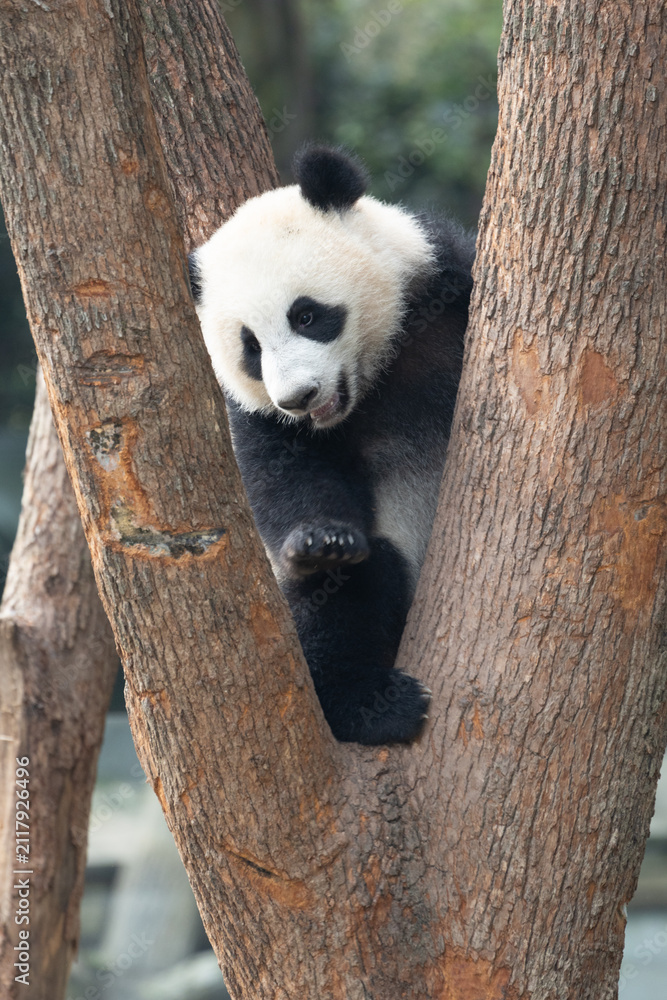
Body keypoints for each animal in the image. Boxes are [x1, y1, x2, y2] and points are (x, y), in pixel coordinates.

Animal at [189, 145, 475, 745]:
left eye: (306, 315)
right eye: (250, 347)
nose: (299, 397)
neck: (372, 377)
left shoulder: (444, 288)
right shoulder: (258, 416)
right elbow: (281, 478)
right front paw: (323, 538)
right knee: (349, 591)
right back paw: (373, 705)